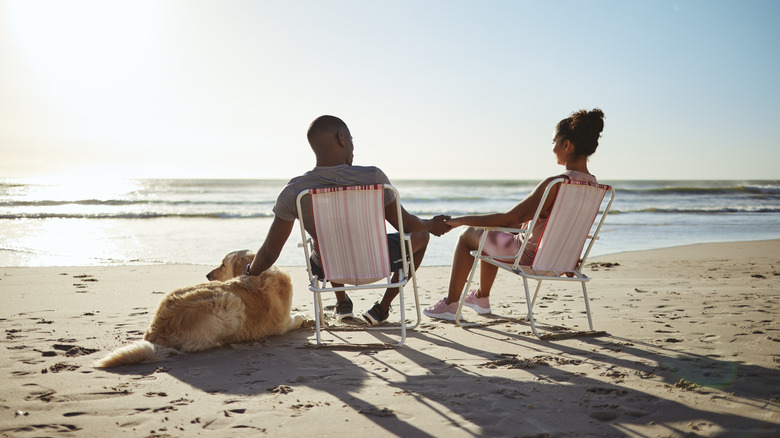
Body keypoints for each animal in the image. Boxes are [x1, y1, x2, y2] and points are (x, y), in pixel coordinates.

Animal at [93, 250, 306, 366]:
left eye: (222, 264)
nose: (208, 275)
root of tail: (156, 333)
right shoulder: (283, 323)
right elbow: (297, 318)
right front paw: (304, 317)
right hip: (231, 302)